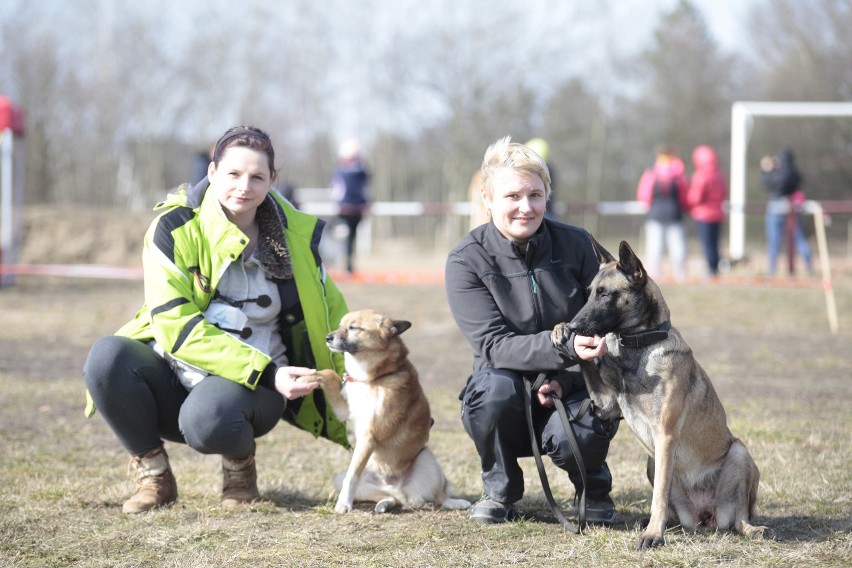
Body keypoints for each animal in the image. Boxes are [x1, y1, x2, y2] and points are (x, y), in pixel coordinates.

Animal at [300, 310, 472, 516]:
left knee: (440, 496)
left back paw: (457, 503)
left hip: (428, 459)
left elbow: (352, 476)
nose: (327, 337)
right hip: (345, 479)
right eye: (340, 325)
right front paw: (304, 378)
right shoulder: (344, 409)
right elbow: (328, 373)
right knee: (391, 498)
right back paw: (384, 504)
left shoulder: (369, 436)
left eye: (353, 328)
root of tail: (399, 489)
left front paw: (343, 505)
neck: (373, 379)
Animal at [548, 241, 768, 552]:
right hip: (652, 461)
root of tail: (705, 515)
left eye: (605, 294)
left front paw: (653, 535)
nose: (577, 325)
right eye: (589, 292)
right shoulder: (604, 406)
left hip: (736, 453)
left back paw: (750, 529)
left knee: (739, 518)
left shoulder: (664, 436)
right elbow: (587, 361)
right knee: (678, 514)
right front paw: (561, 329)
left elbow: (659, 498)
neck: (638, 348)